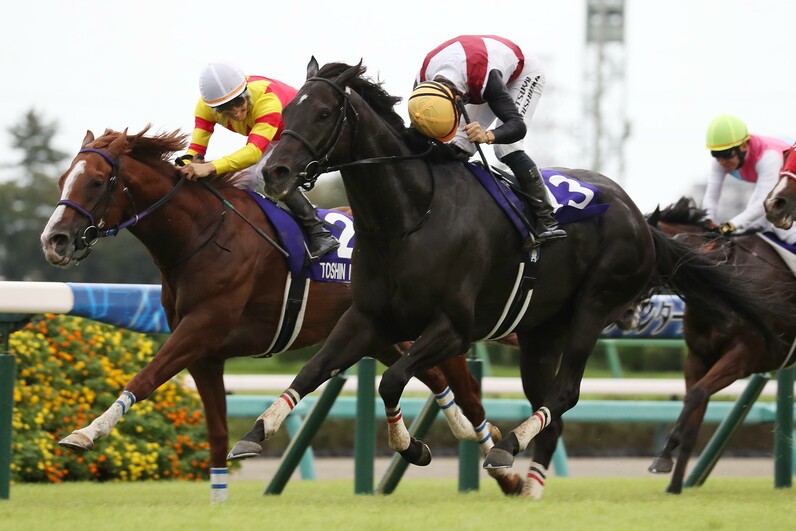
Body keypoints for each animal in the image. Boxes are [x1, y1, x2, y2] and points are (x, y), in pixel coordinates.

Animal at [42, 128, 524, 494]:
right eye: (64, 177)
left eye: (96, 181)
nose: (54, 241)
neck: (202, 235)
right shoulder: (205, 354)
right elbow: (216, 432)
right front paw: (219, 497)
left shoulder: (200, 329)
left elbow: (144, 377)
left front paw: (85, 433)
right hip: (379, 335)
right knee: (439, 381)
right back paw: (445, 446)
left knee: (468, 391)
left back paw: (502, 466)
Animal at [648, 198, 796, 494]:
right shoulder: (698, 357)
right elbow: (694, 410)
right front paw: (674, 485)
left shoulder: (743, 357)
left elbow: (696, 394)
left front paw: (663, 458)